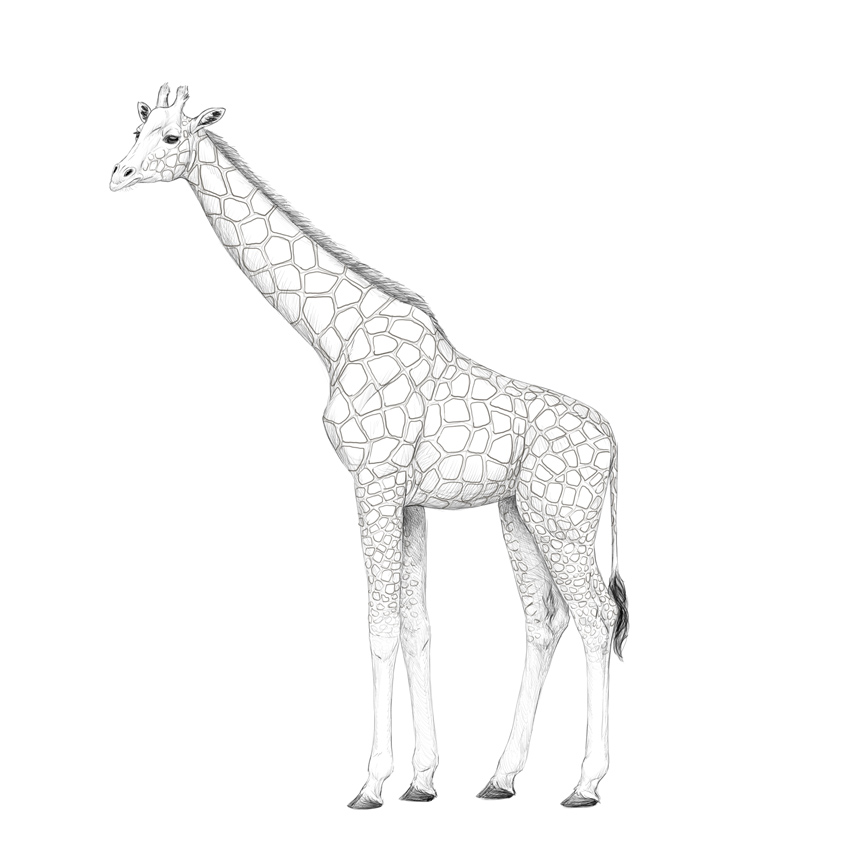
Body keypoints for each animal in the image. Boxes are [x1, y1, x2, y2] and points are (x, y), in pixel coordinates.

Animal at [110, 84, 629, 809]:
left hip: (566, 517)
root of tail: (612, 441)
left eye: (171, 138)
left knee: (597, 617)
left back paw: (585, 783)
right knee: (543, 619)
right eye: (137, 128)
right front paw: (423, 779)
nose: (117, 174)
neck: (335, 334)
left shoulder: (373, 483)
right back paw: (500, 777)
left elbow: (379, 626)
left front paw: (372, 782)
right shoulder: (406, 500)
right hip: (522, 513)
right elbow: (416, 626)